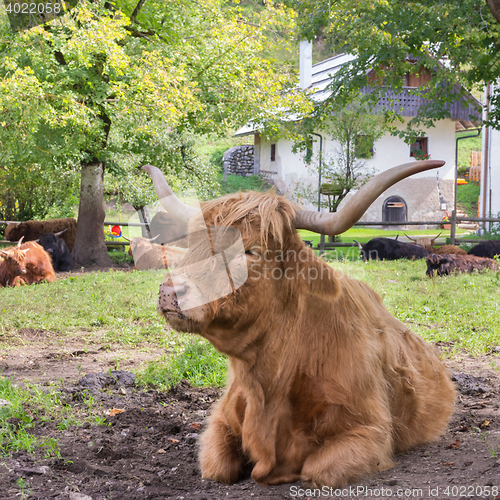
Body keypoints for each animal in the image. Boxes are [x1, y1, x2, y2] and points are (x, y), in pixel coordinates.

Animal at [144, 161, 458, 488]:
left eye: (251, 251)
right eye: (192, 243)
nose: (170, 291)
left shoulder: (371, 433)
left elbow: (316, 471)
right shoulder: (220, 419)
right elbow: (218, 468)